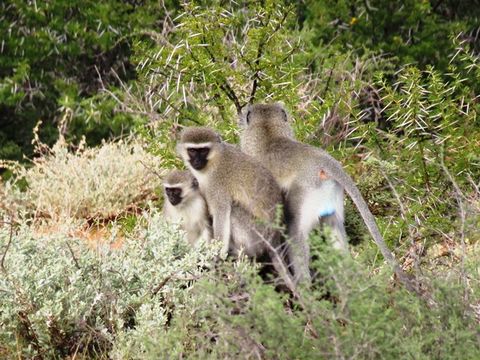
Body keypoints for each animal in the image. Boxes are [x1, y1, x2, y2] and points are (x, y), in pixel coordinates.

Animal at [176, 126, 296, 292]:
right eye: (193, 151)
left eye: (204, 151)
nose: (197, 161)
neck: (213, 162)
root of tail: (275, 238)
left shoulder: (217, 184)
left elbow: (221, 213)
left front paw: (217, 257)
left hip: (257, 234)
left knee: (234, 210)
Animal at [239, 102, 416, 292]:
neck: (267, 127)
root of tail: (322, 161)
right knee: (334, 227)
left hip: (303, 191)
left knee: (295, 233)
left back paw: (304, 288)